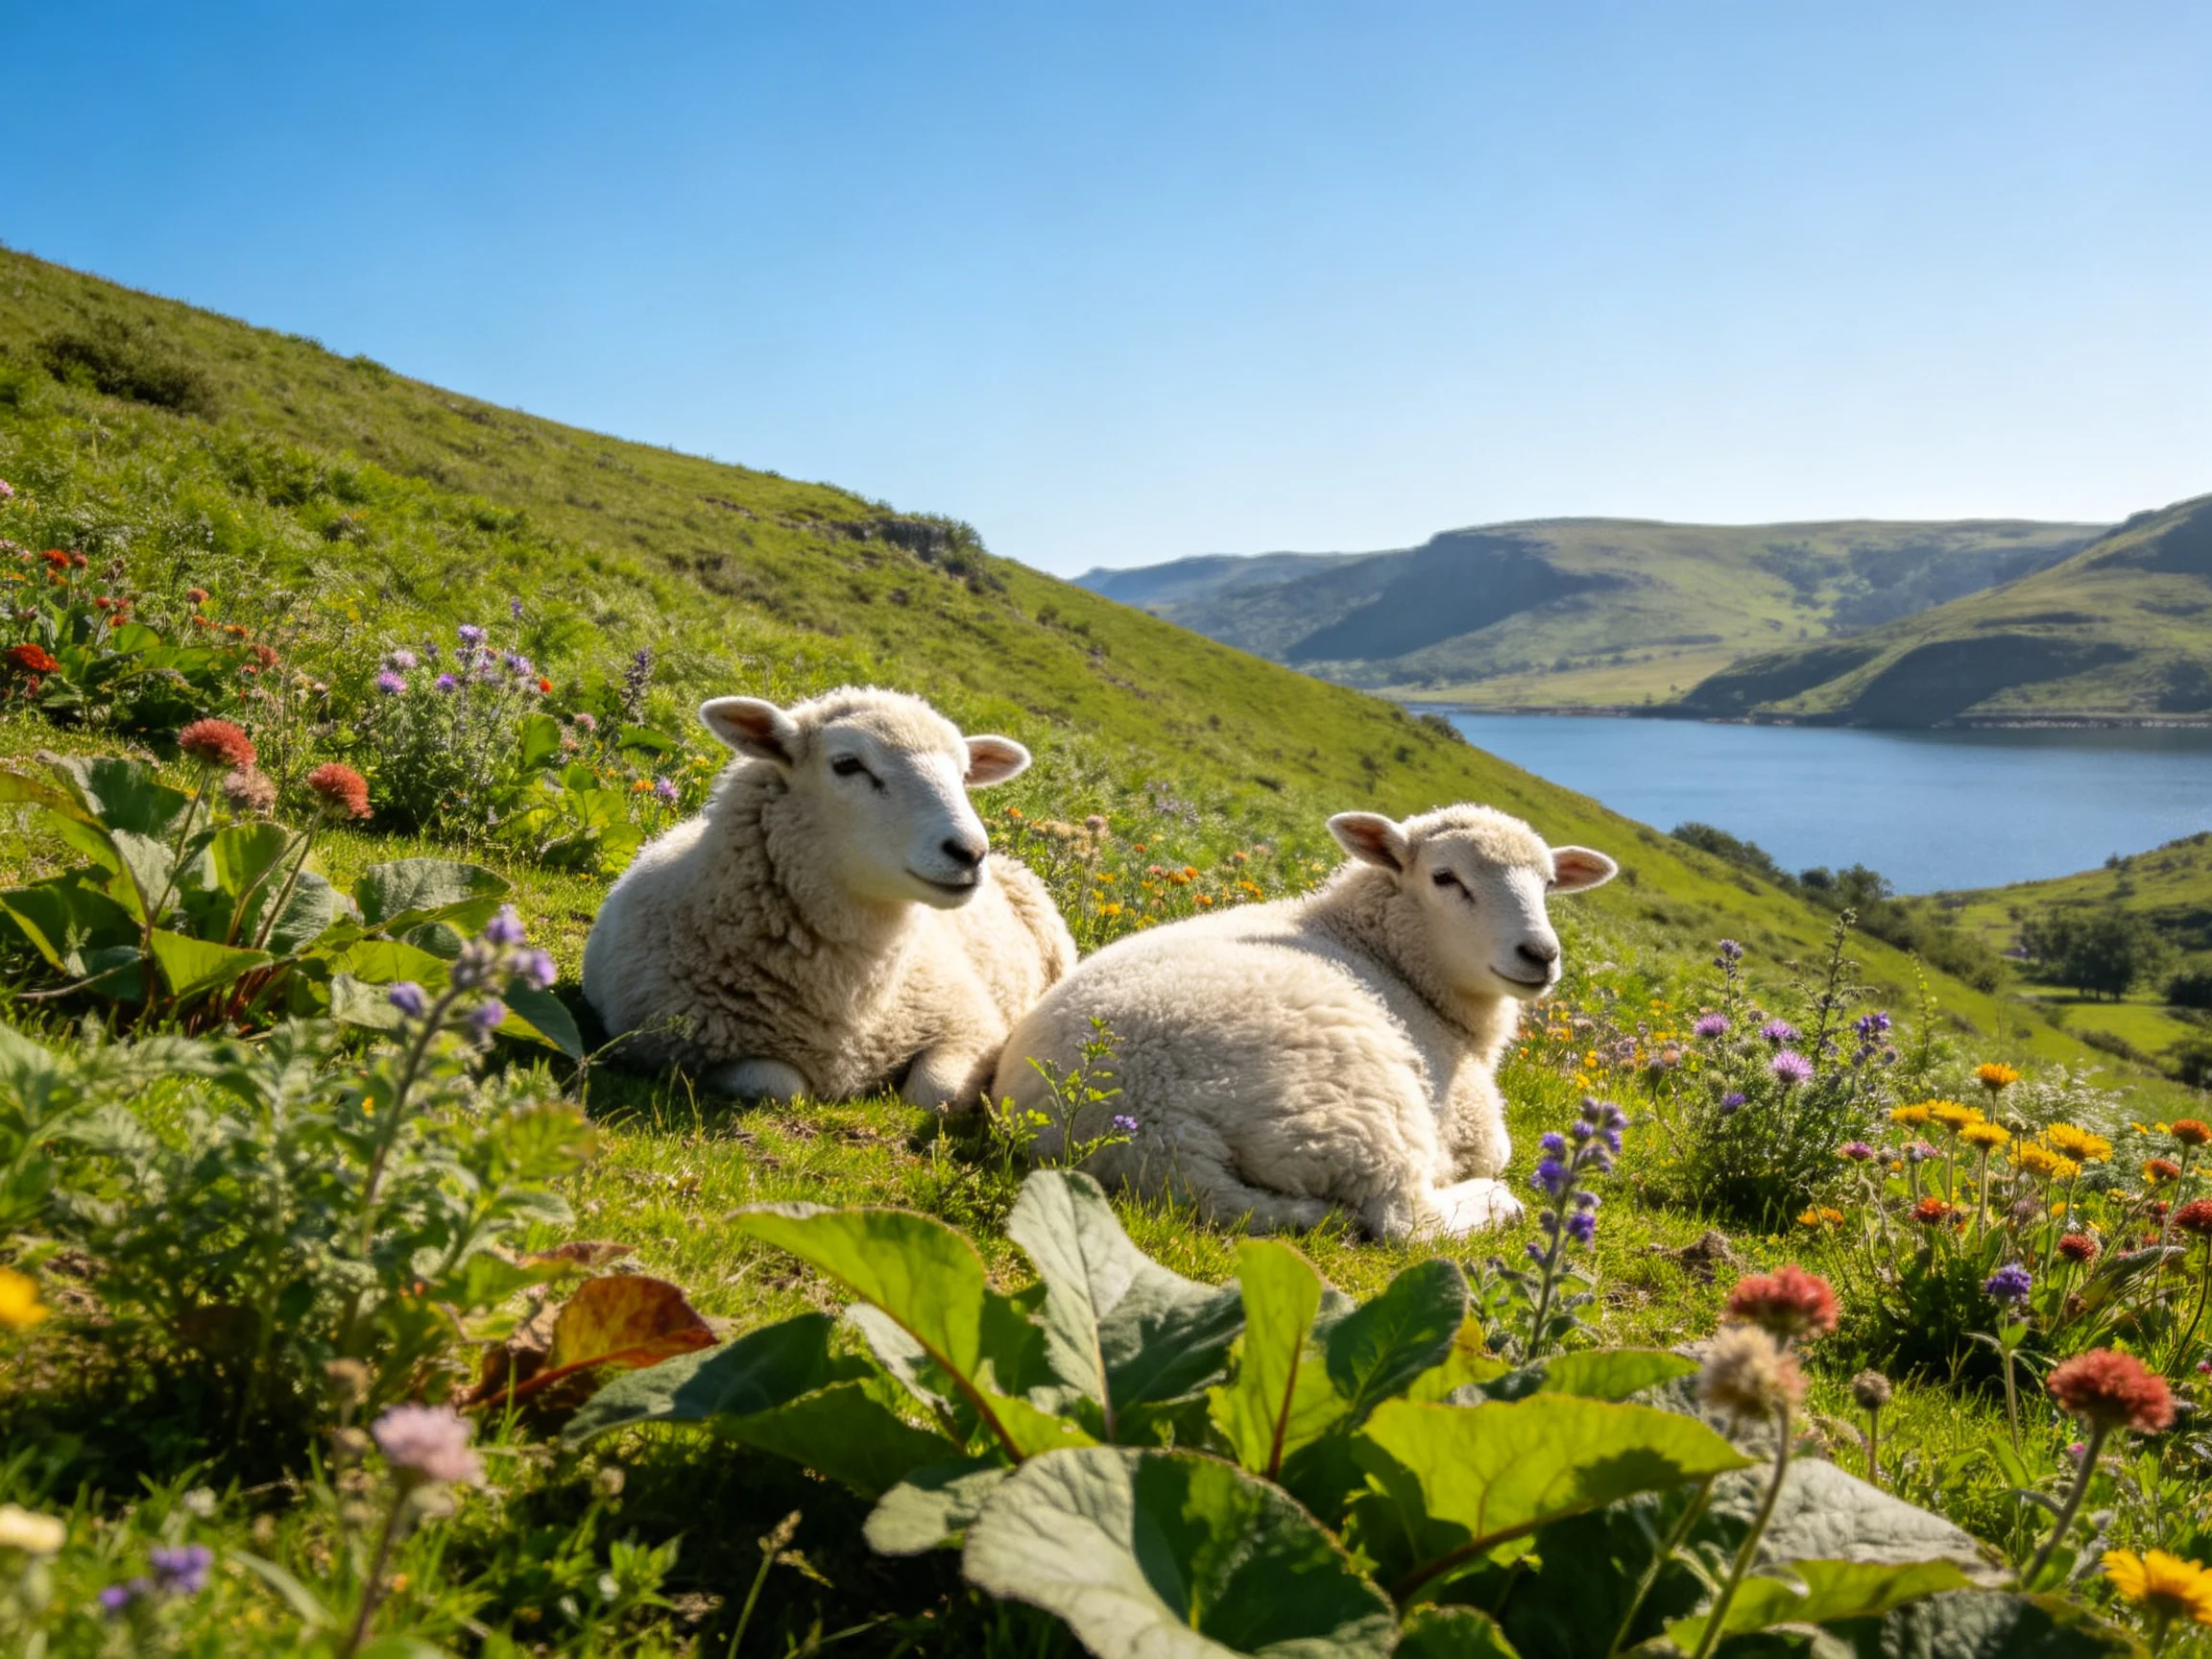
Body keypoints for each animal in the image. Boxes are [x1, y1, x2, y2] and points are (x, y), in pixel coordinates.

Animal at [583, 687, 1075, 1106]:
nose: (970, 853)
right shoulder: (670, 1046)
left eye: (964, 775)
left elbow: (936, 1093)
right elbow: (780, 1086)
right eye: (847, 764)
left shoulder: (971, 1025)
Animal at [990, 803, 1616, 1240]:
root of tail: (1153, 1131)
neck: (1389, 955)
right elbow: (1495, 1151)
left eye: (1548, 884)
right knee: (1406, 1221)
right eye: (1445, 877)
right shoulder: (1469, 1116)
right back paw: (1495, 1201)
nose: (1541, 954)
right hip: (1363, 1112)